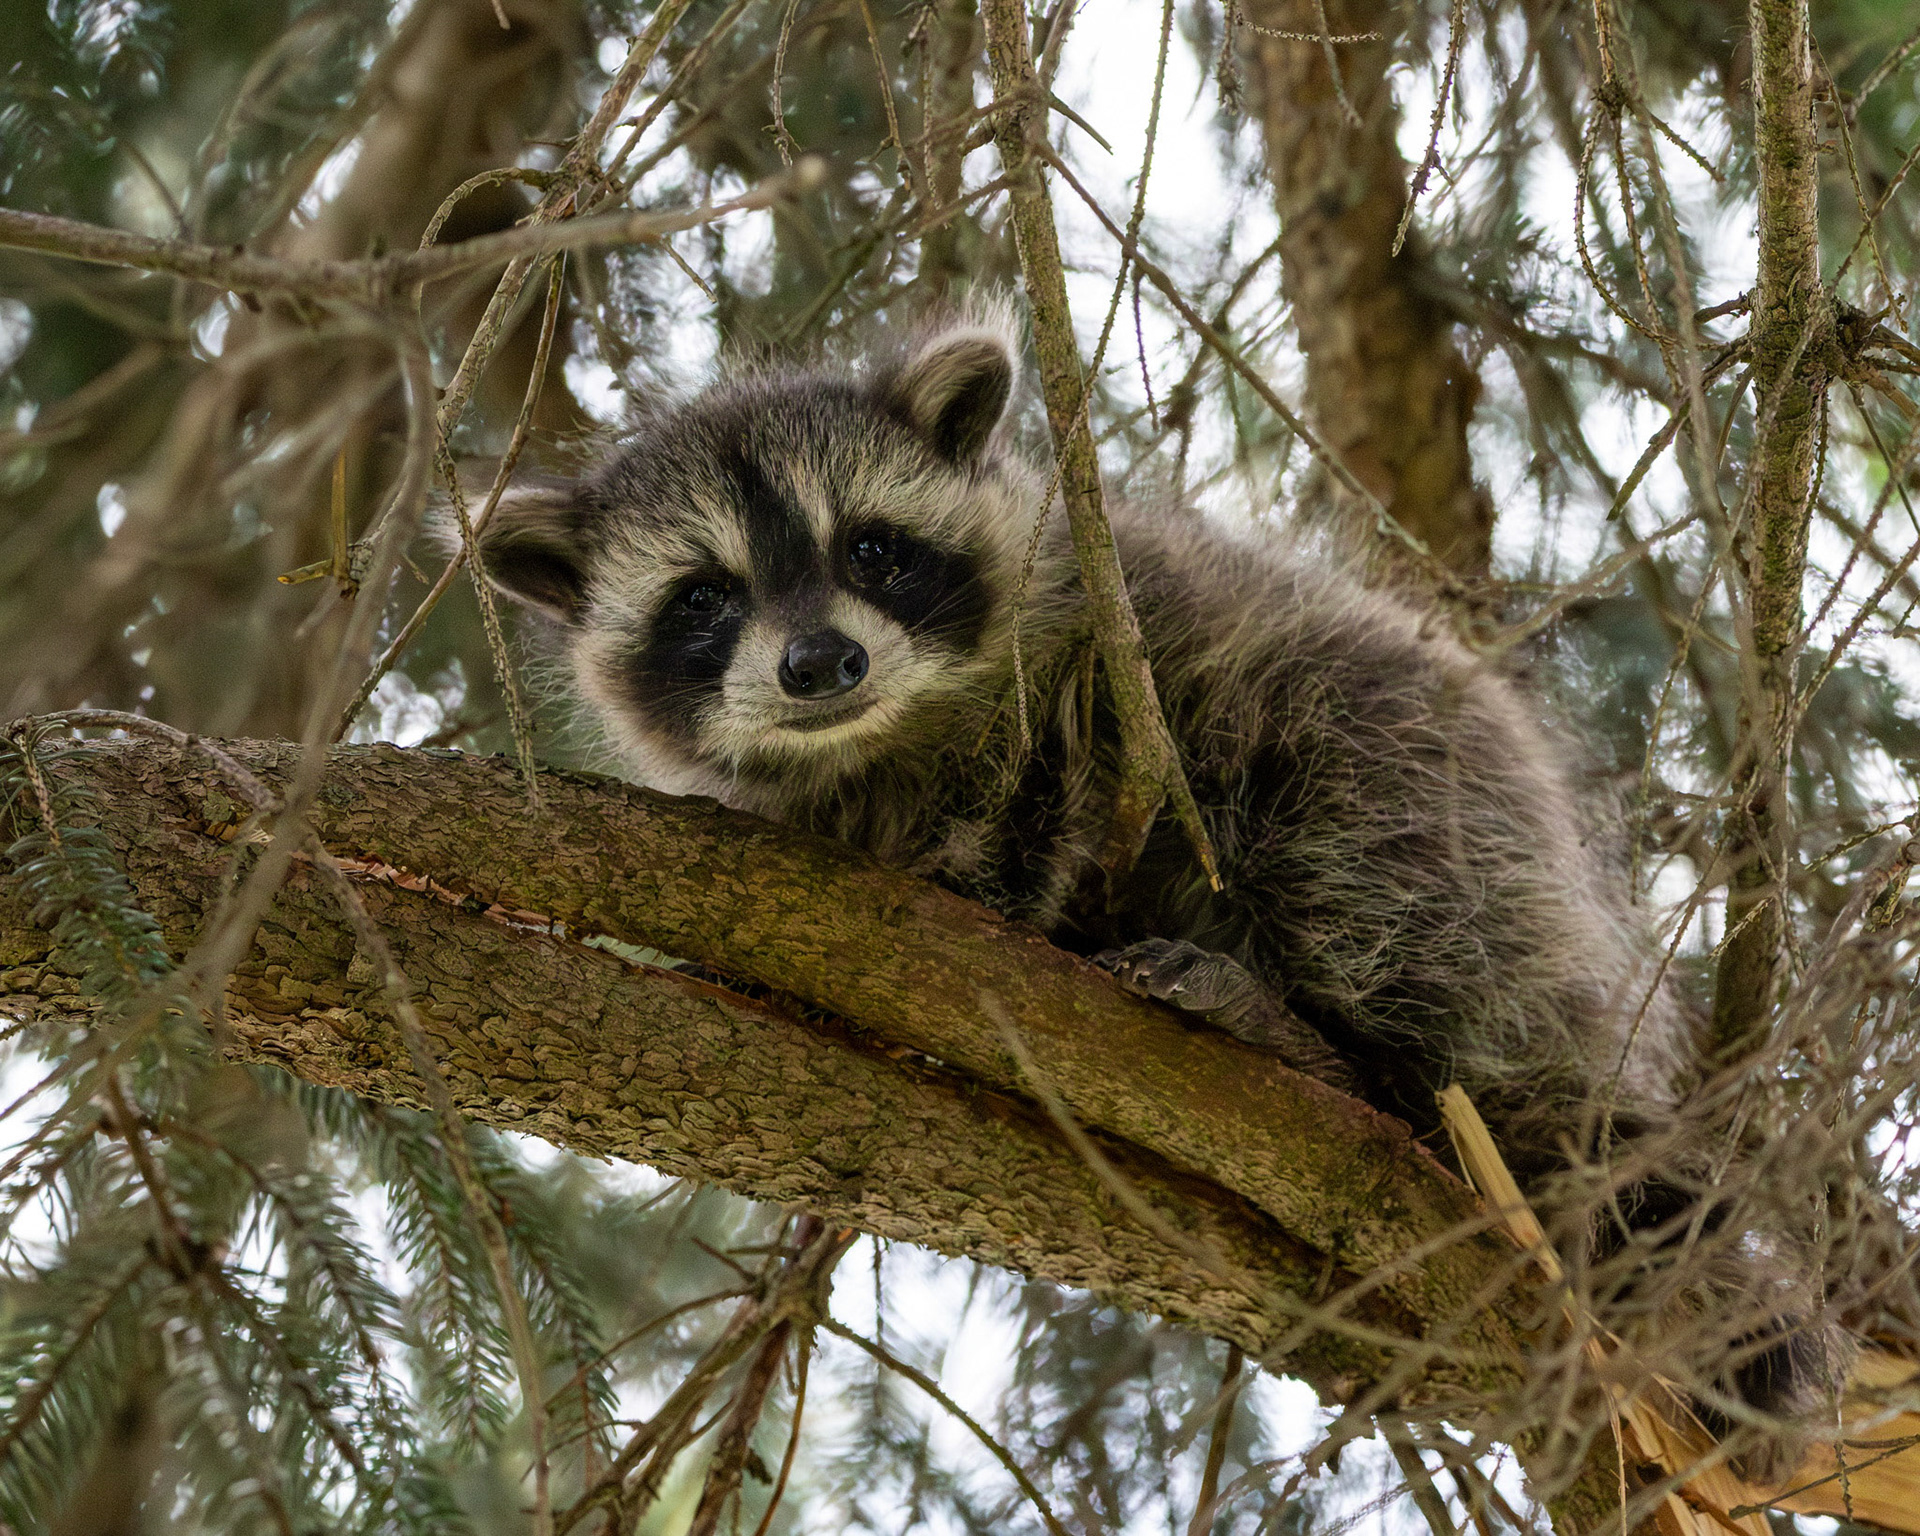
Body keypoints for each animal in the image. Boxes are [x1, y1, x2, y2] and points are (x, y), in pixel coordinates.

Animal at [471, 313, 1842, 1473]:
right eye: (705, 596)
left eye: (871, 548)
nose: (818, 661)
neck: (882, 740)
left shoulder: (1103, 634)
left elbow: (1060, 781)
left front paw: (988, 873)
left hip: (1431, 782)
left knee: (1372, 868)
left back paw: (1331, 1048)